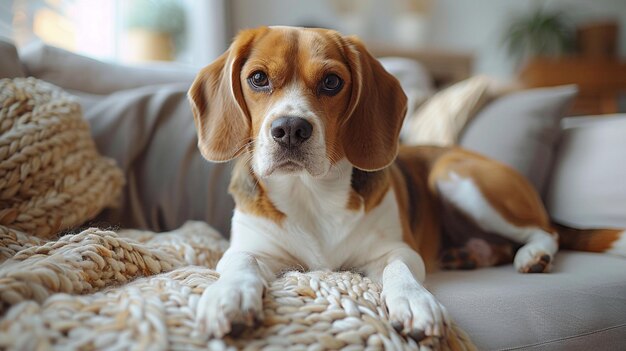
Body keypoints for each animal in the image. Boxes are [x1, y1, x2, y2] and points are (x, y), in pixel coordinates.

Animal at [186, 26, 624, 342]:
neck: (310, 193)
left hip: (454, 176)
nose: (291, 128)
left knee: (547, 232)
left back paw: (533, 255)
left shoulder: (396, 250)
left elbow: (400, 272)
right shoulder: (251, 249)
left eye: (331, 82)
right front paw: (228, 296)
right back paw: (471, 255)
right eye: (258, 78)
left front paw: (414, 303)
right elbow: (240, 264)